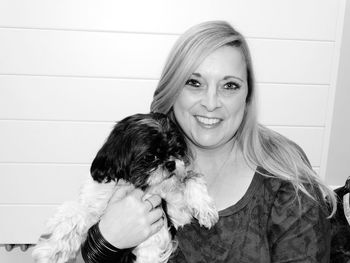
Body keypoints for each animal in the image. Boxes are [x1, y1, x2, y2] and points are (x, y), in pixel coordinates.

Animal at [32, 113, 219, 263]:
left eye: (178, 150)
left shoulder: (174, 212)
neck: (141, 187)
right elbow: (73, 215)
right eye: (150, 156)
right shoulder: (95, 204)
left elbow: (191, 178)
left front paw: (205, 209)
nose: (171, 163)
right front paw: (52, 251)